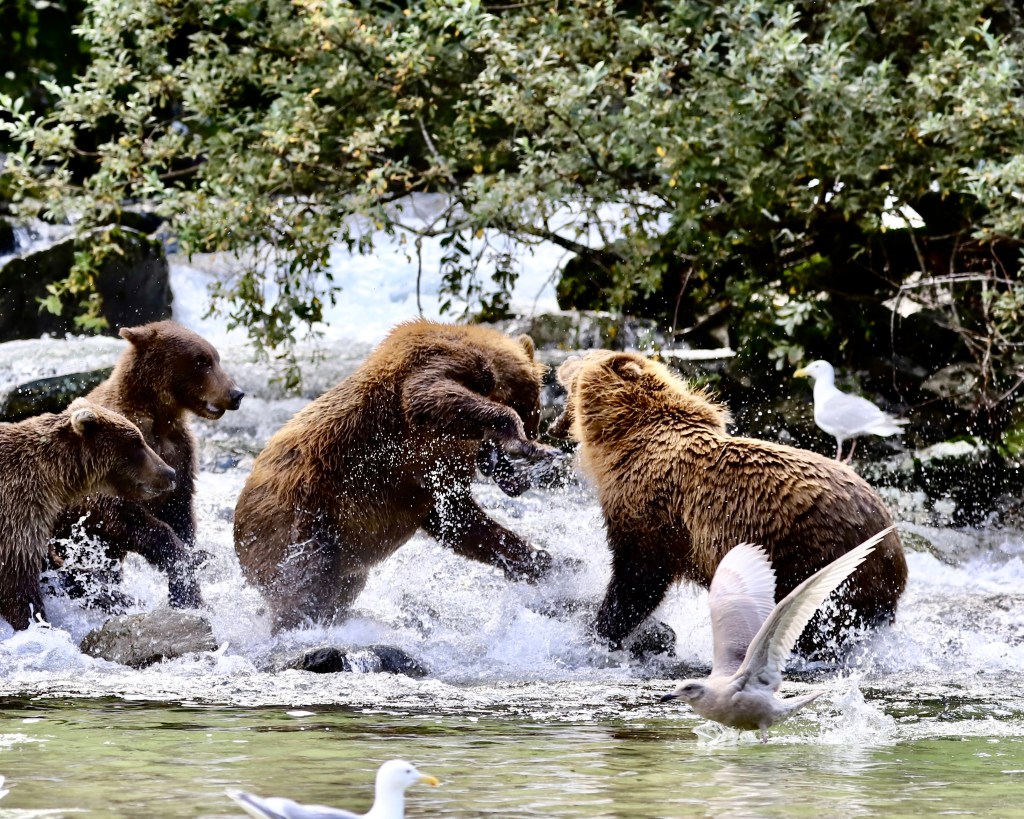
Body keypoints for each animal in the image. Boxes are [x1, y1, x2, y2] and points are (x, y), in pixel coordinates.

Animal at [0, 399, 177, 631]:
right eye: (137, 443)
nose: (169, 472)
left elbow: (60, 570)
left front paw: (121, 598)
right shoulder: (17, 514)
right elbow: (19, 585)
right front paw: (35, 622)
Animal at [50, 320, 244, 610]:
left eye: (215, 357)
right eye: (201, 361)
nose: (236, 394)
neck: (159, 417)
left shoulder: (180, 454)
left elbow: (180, 509)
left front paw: (190, 575)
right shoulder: (115, 461)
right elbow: (128, 515)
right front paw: (181, 565)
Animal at [234, 319, 560, 632]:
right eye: (534, 418)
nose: (517, 484)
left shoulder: (431, 473)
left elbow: (459, 520)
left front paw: (543, 560)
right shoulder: (431, 373)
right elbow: (426, 395)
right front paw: (533, 445)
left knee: (341, 586)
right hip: (298, 518)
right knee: (305, 579)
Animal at [551, 350, 908, 658]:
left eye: (585, 355)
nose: (563, 361)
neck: (623, 439)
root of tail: (893, 542)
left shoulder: (653, 511)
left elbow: (637, 577)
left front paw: (602, 630)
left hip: (817, 555)